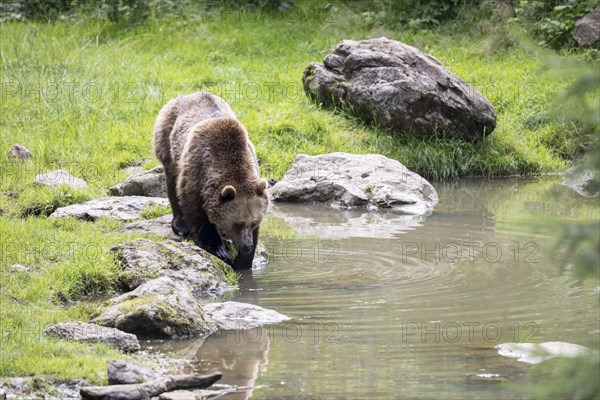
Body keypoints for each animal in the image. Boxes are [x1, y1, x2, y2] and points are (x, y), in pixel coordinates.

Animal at [154, 92, 268, 270]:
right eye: (238, 223)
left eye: (254, 222)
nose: (247, 245)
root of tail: (187, 95)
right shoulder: (197, 171)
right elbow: (196, 211)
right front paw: (220, 250)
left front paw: (243, 261)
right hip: (168, 142)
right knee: (172, 182)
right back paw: (180, 224)